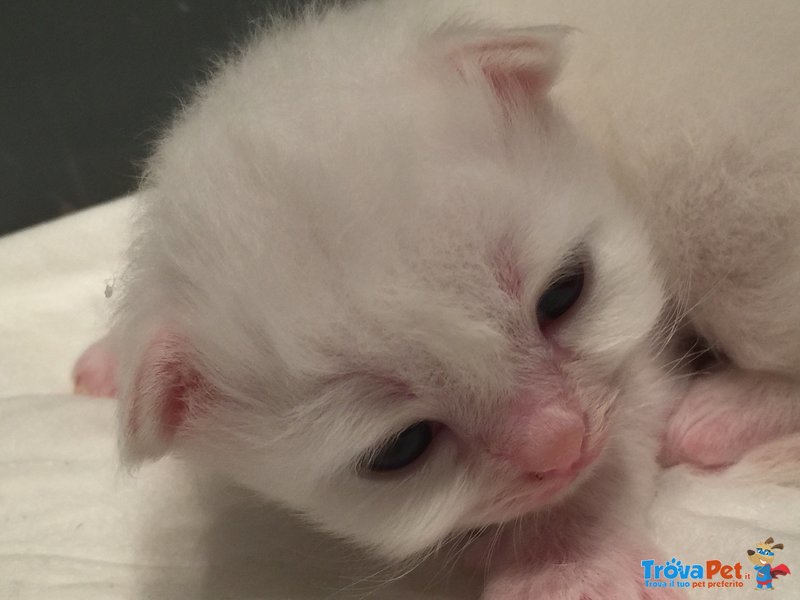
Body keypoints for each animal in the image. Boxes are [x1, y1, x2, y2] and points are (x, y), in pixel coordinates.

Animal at [75, 2, 800, 596]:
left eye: (564, 294)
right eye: (404, 447)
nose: (561, 443)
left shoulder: (633, 340)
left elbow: (620, 433)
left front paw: (566, 563)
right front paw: (113, 356)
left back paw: (725, 414)